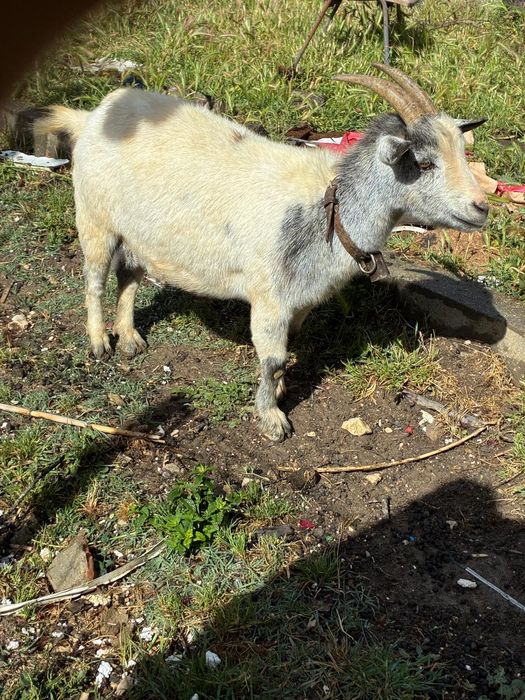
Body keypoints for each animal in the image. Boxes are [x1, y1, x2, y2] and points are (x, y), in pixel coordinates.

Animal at [37, 64, 488, 441]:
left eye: (461, 152)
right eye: (423, 163)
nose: (481, 207)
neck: (328, 207)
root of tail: (93, 115)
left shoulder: (301, 300)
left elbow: (288, 350)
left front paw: (282, 389)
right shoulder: (269, 298)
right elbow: (272, 358)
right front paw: (272, 419)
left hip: (137, 233)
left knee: (128, 274)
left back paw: (130, 337)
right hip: (94, 216)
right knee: (94, 278)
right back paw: (100, 343)